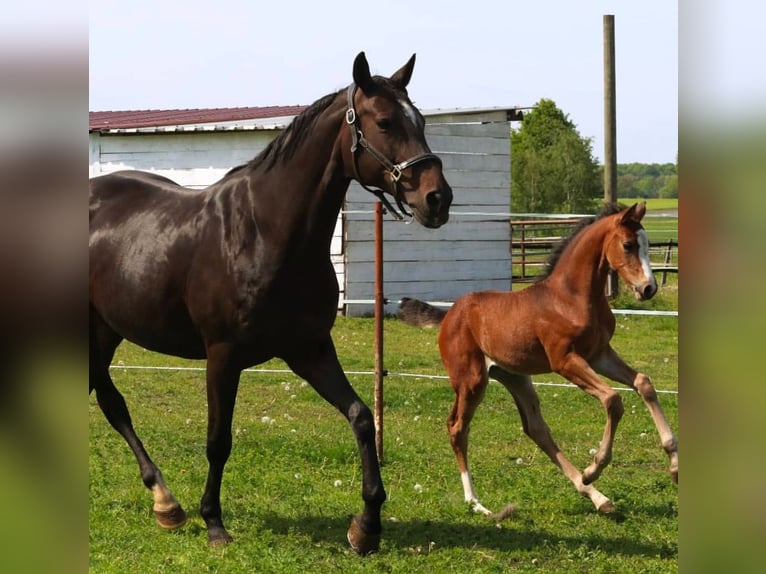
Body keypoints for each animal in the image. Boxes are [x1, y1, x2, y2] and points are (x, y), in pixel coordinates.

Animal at [89, 51, 453, 555]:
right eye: (384, 122)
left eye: (420, 120)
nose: (438, 199)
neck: (266, 232)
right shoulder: (222, 356)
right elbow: (218, 440)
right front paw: (214, 523)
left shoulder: (309, 349)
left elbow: (361, 417)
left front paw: (366, 525)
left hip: (105, 330)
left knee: (109, 398)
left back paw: (166, 503)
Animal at [397, 202, 678, 517]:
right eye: (628, 245)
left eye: (646, 244)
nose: (648, 288)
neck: (570, 298)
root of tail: (448, 315)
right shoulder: (565, 360)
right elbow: (613, 400)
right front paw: (594, 467)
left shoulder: (599, 354)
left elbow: (644, 383)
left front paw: (674, 464)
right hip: (471, 380)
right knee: (457, 427)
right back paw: (476, 502)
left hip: (516, 377)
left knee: (536, 428)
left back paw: (595, 496)